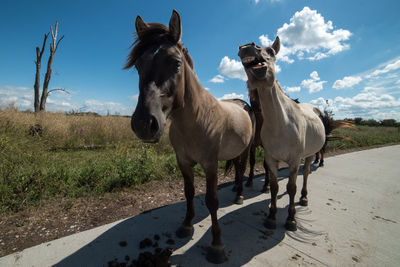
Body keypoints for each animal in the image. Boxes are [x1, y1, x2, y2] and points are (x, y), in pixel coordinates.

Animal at [125, 10, 255, 264]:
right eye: (138, 65)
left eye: (176, 63)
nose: (144, 124)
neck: (196, 120)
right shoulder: (183, 162)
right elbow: (189, 192)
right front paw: (186, 225)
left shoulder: (210, 164)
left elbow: (212, 201)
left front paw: (216, 246)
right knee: (236, 170)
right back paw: (235, 190)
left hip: (246, 149)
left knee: (242, 167)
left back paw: (239, 195)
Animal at [239, 38, 326, 232]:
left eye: (271, 51)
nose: (247, 46)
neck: (281, 123)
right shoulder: (271, 159)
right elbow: (274, 187)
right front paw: (271, 216)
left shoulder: (294, 160)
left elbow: (292, 186)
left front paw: (291, 219)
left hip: (309, 155)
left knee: (305, 174)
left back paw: (304, 197)